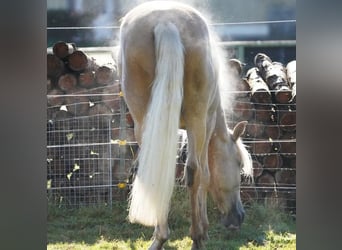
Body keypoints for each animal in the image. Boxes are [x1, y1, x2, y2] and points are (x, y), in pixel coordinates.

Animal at [119, 1, 252, 248]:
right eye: (238, 164)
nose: (238, 217)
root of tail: (165, 22)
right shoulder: (207, 123)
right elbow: (205, 175)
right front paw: (204, 229)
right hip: (197, 119)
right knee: (195, 170)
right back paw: (196, 236)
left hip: (146, 122)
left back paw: (160, 237)